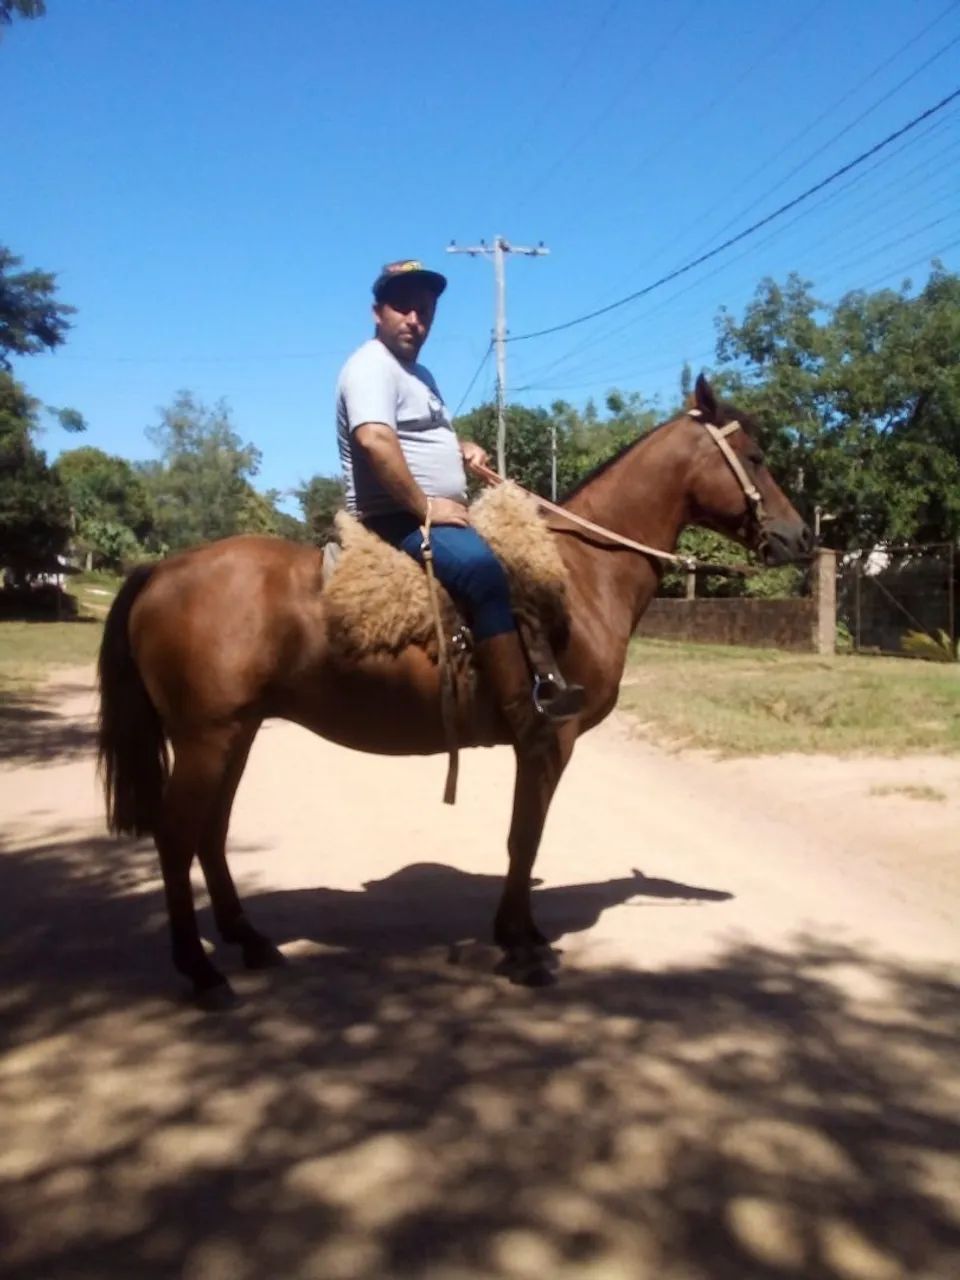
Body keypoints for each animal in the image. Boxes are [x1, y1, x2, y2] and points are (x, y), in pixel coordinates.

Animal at [97, 375, 811, 1004]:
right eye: (755, 457)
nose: (800, 536)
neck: (580, 574)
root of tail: (160, 570)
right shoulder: (548, 738)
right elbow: (524, 837)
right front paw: (519, 946)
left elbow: (527, 837)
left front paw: (524, 935)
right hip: (206, 738)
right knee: (176, 837)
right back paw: (201, 973)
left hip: (235, 734)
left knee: (210, 833)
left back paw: (248, 942)